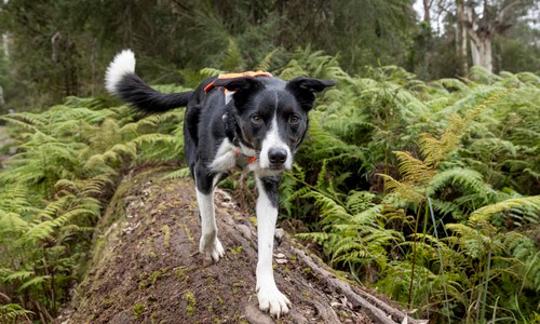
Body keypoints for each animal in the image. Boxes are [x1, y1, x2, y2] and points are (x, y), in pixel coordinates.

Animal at [104, 50, 336, 316]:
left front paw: (269, 291)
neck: (244, 144)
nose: (278, 156)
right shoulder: (203, 170)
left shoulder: (269, 188)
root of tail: (195, 89)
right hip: (194, 156)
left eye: (294, 119)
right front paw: (209, 247)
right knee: (204, 201)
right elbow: (210, 224)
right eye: (257, 118)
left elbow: (266, 246)